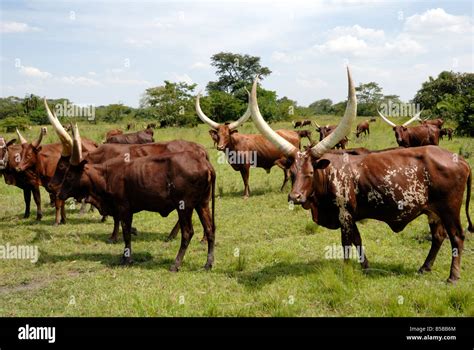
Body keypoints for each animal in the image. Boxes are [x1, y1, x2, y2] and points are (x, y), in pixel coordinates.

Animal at [57, 124, 217, 272]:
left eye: (69, 175)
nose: (59, 194)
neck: (106, 175)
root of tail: (204, 162)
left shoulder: (123, 209)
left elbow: (126, 234)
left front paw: (126, 258)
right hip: (202, 204)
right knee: (210, 229)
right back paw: (208, 264)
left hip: (184, 206)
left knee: (188, 233)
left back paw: (176, 263)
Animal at [248, 67, 470, 284]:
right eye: (292, 173)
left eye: (311, 172)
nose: (295, 197)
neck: (329, 174)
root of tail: (460, 159)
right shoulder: (352, 217)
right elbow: (358, 240)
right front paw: (366, 267)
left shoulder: (344, 215)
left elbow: (346, 244)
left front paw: (346, 271)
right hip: (433, 211)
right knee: (438, 236)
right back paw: (425, 267)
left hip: (450, 208)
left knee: (457, 236)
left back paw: (453, 277)